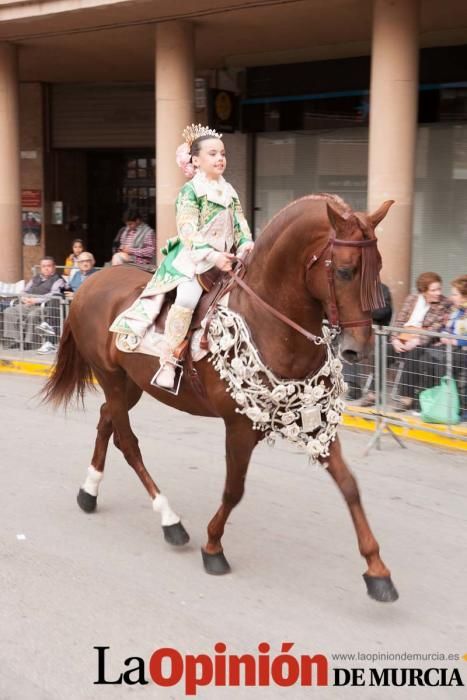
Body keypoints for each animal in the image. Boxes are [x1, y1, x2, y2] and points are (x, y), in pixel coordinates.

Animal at [43, 193, 398, 600]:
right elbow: (234, 490)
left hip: (130, 384)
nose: (360, 349)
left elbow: (349, 486)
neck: (270, 324)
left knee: (106, 422)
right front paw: (213, 547)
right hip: (113, 379)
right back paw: (170, 521)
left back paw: (89, 491)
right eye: (344, 271)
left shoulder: (315, 421)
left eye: (379, 266)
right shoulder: (240, 426)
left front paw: (378, 571)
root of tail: (91, 282)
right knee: (128, 442)